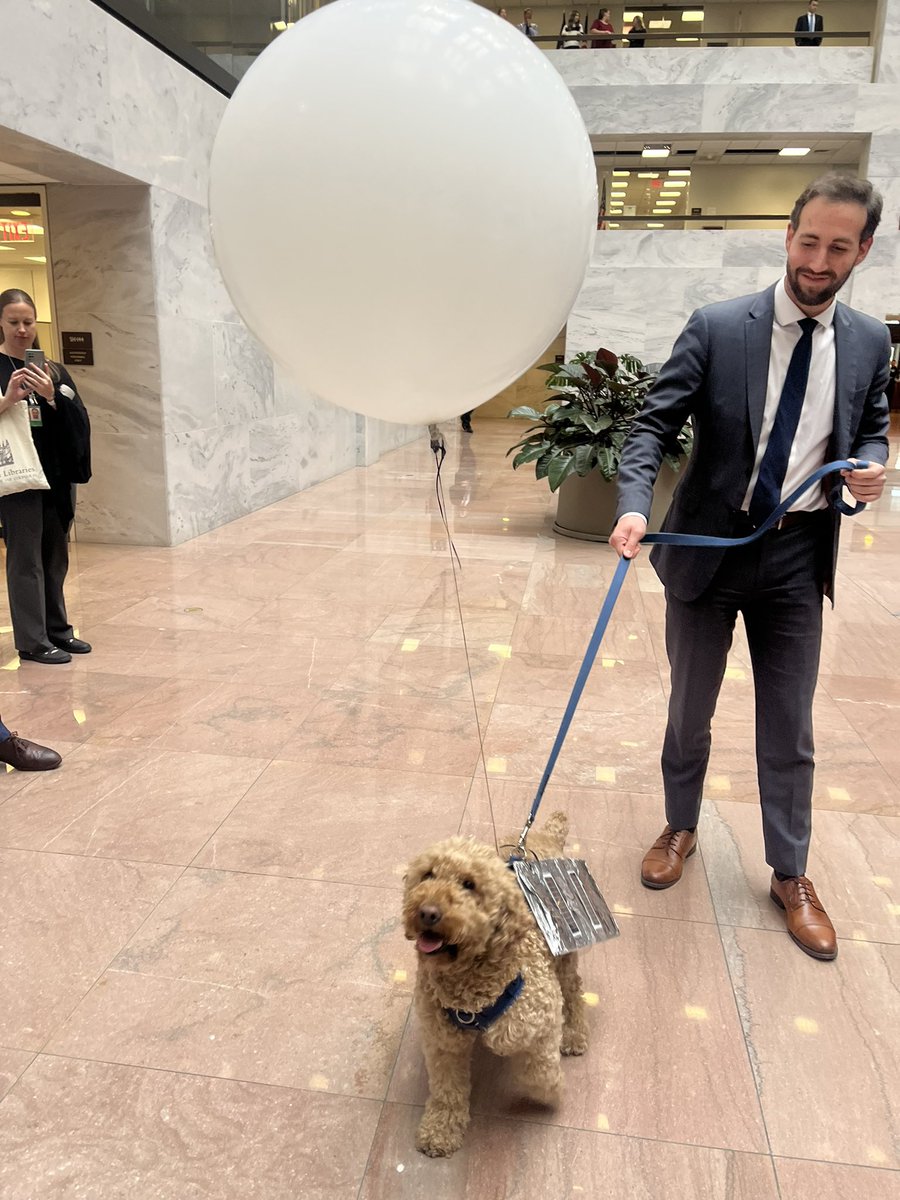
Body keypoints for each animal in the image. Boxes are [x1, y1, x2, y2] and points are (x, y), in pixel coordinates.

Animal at [403, 811, 588, 1156]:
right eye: (427, 875)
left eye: (469, 884)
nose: (427, 912)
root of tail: (548, 833)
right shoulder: (442, 1041)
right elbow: (446, 1090)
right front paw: (440, 1130)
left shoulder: (539, 1022)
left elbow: (538, 1071)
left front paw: (551, 1092)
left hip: (565, 957)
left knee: (574, 990)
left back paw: (575, 1034)